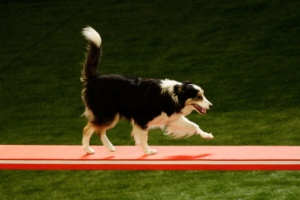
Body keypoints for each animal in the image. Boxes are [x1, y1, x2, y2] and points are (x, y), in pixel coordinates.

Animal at [81, 26, 214, 155]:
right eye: (198, 97)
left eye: (203, 94)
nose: (211, 106)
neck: (173, 96)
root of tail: (95, 77)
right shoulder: (142, 120)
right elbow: (144, 139)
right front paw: (148, 152)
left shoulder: (173, 119)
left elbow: (194, 125)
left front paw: (206, 135)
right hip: (107, 114)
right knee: (88, 129)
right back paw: (89, 149)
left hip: (109, 115)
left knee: (97, 129)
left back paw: (106, 148)